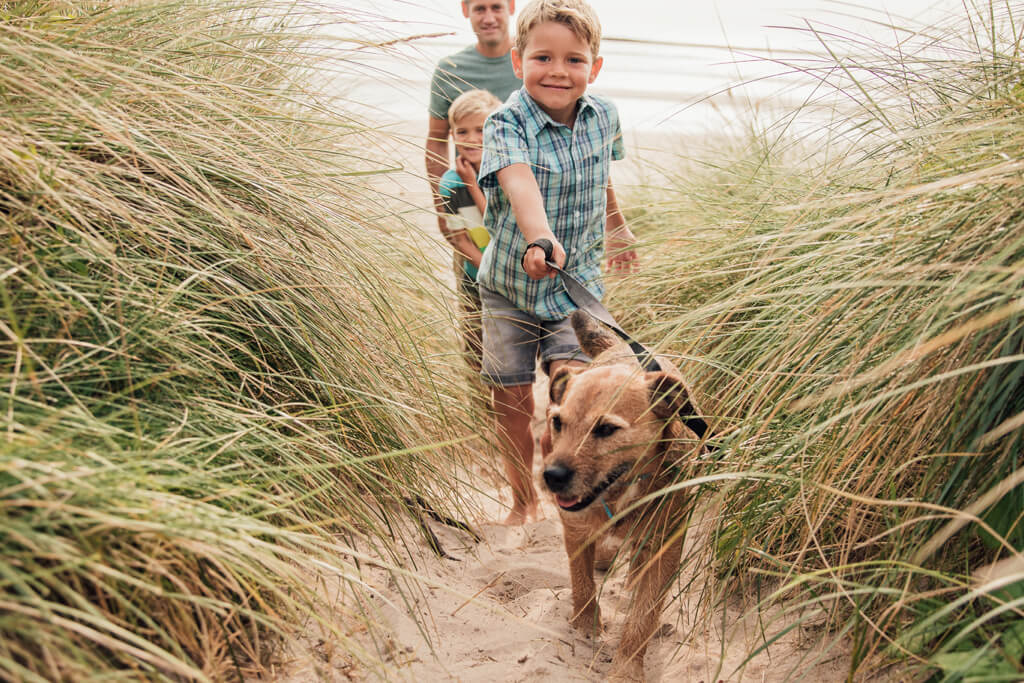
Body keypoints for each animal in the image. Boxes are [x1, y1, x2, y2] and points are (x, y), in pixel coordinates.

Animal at [544, 311, 704, 683]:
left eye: (606, 429)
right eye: (557, 422)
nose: (552, 476)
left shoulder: (664, 548)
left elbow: (642, 617)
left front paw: (626, 669)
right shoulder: (575, 529)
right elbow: (582, 582)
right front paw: (585, 626)